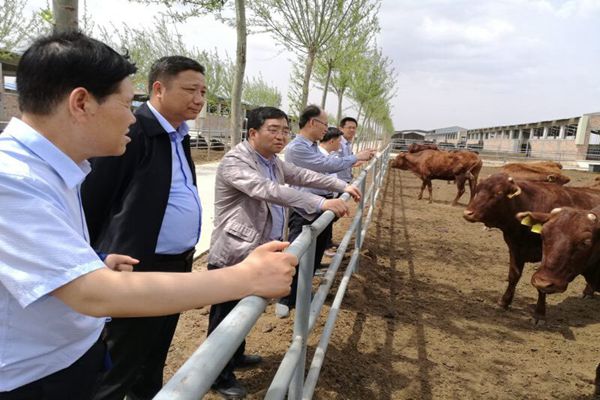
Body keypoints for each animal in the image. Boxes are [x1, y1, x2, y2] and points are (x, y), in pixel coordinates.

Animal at [462, 173, 600, 321]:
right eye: (478, 190)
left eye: (498, 193)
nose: (468, 213)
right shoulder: (515, 249)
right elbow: (513, 276)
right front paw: (504, 302)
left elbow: (541, 287)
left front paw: (539, 314)